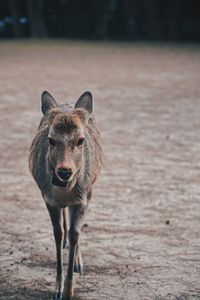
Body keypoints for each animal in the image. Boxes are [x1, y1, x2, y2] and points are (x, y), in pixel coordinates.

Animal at [28, 91, 103, 300]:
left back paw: (78, 261)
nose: (64, 171)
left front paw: (69, 290)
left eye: (81, 140)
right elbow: (58, 233)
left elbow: (75, 232)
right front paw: (57, 289)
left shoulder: (82, 199)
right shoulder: (48, 199)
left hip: (90, 191)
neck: (64, 191)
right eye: (51, 140)